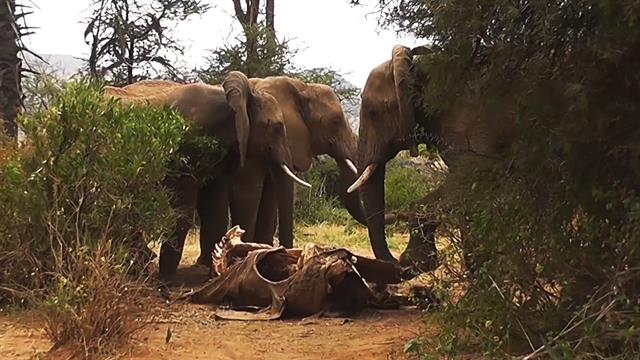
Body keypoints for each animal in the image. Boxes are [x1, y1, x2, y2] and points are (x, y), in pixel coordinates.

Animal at [105, 71, 310, 278]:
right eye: (276, 127)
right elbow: (183, 210)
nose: (287, 266)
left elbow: (214, 209)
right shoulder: (186, 149)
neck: (235, 102)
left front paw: (215, 274)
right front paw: (167, 281)